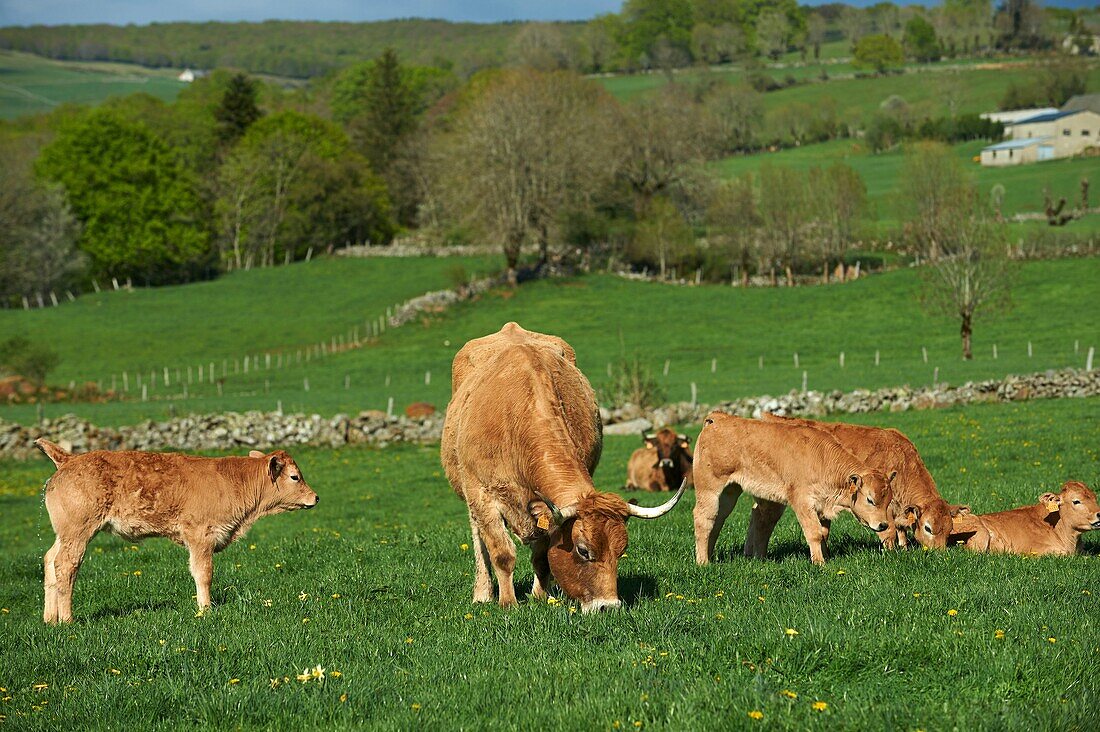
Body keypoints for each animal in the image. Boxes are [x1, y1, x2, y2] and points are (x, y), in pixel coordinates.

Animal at [35, 440, 319, 620]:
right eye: (295, 477)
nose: (315, 497)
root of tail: (69, 459)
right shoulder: (201, 536)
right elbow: (203, 574)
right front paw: (205, 610)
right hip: (78, 532)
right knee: (65, 565)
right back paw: (67, 620)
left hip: (65, 534)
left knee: (50, 559)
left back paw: (50, 619)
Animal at [435, 321, 677, 612]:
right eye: (583, 550)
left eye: (621, 550)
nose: (608, 606)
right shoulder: (482, 495)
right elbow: (501, 553)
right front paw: (508, 604)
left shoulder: (546, 511)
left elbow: (542, 556)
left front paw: (541, 597)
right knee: (479, 541)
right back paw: (483, 593)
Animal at [695, 411, 893, 563]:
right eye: (870, 499)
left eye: (889, 501)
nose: (883, 524)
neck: (821, 458)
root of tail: (717, 418)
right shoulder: (802, 501)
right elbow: (814, 533)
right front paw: (820, 563)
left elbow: (823, 532)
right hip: (709, 489)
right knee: (703, 519)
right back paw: (703, 562)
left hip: (730, 491)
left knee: (718, 519)